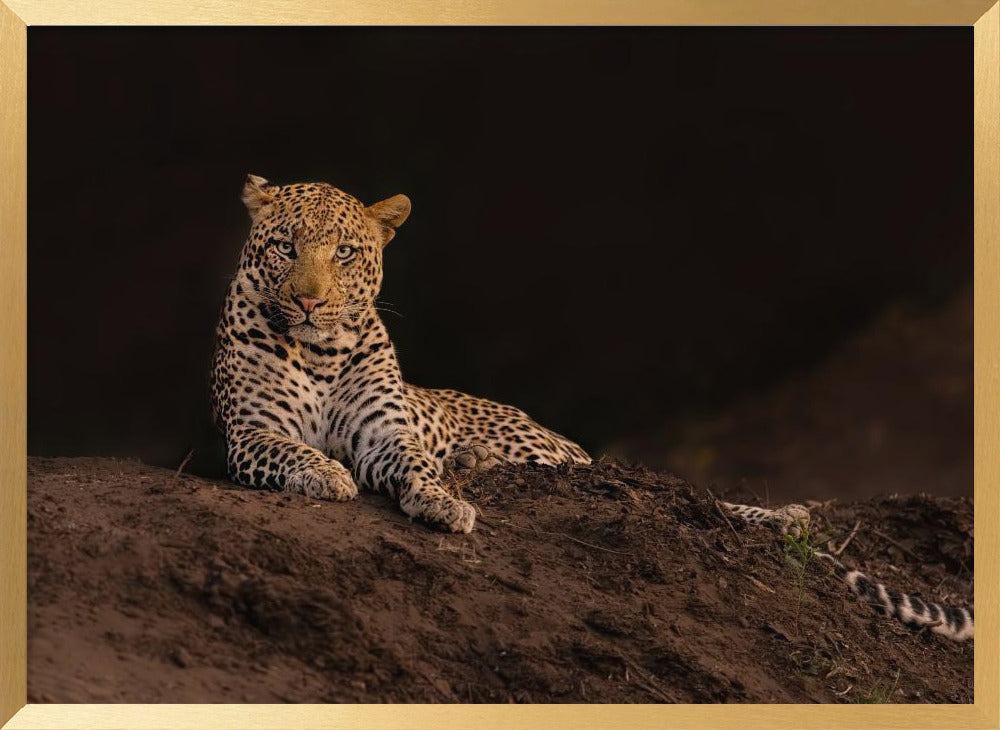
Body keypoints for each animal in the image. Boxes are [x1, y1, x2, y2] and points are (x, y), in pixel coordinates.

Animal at [211, 175, 972, 642]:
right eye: (286, 246)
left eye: (344, 252)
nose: (310, 299)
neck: (320, 351)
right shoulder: (250, 433)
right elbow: (292, 448)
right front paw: (327, 474)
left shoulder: (387, 432)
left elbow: (417, 466)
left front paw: (444, 501)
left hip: (554, 457)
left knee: (661, 491)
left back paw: (784, 516)